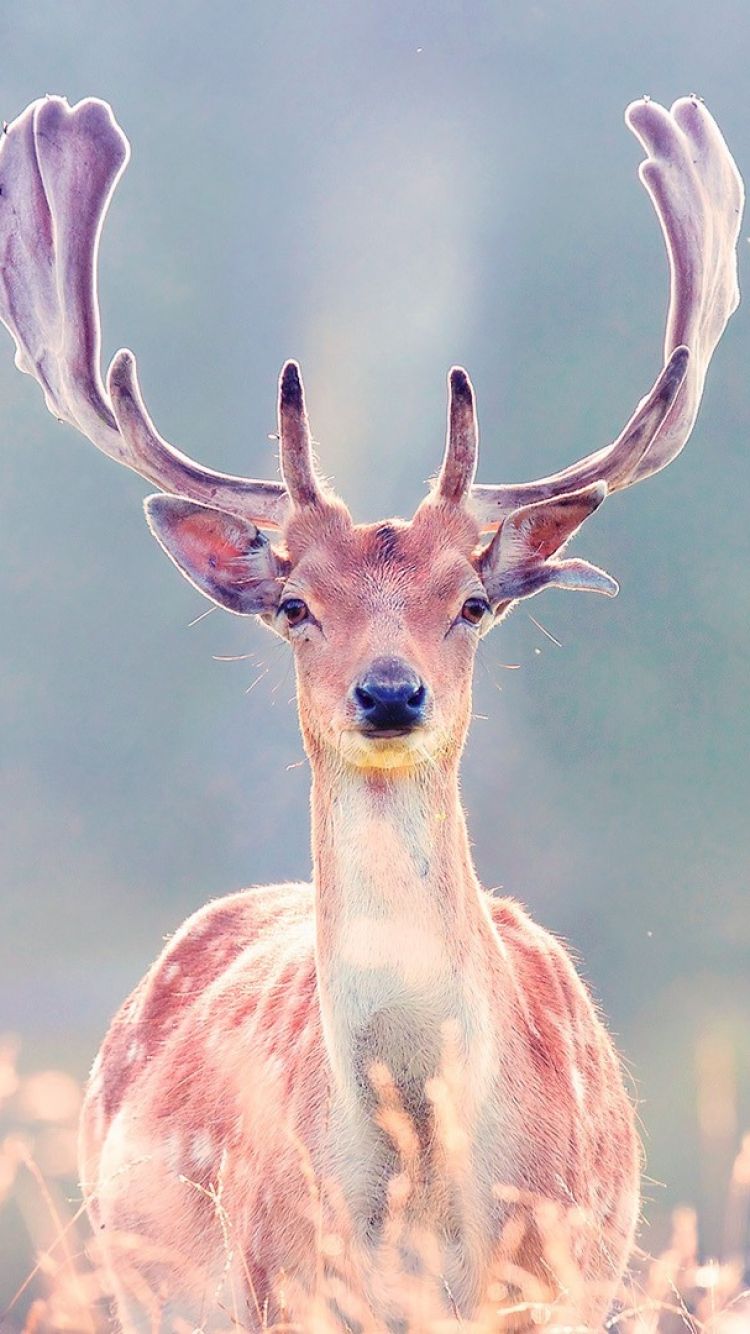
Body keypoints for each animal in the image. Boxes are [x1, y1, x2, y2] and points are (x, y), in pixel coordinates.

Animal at [0, 88, 736, 1328]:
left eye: (472, 601)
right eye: (296, 603)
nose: (390, 691)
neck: (425, 1177)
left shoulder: (566, 1271)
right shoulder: (282, 1277)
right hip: (130, 1271)